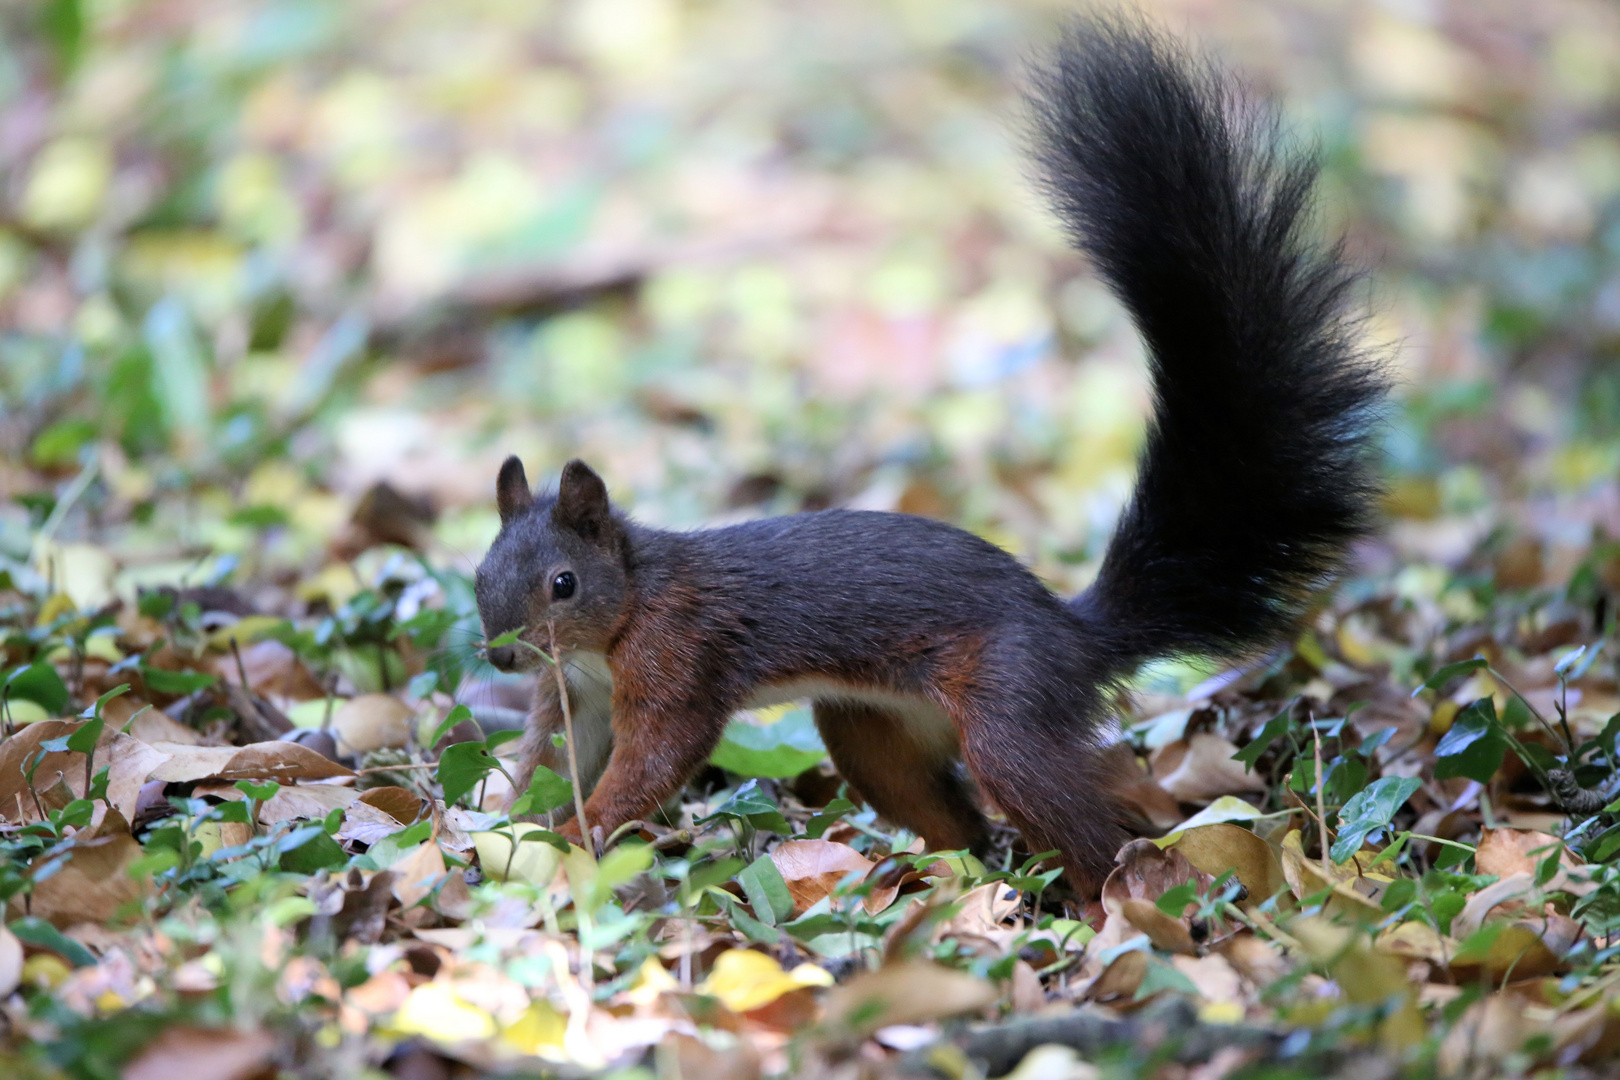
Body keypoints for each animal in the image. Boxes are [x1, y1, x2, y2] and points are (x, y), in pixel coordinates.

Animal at [473, 14, 1386, 893]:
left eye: (564, 583)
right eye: (478, 575)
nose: (504, 654)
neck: (622, 612)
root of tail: (1073, 637)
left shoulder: (680, 659)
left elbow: (655, 758)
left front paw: (576, 836)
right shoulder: (576, 695)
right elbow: (549, 757)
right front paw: (502, 826)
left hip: (1008, 707)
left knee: (1076, 821)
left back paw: (1113, 899)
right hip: (873, 725)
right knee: (960, 820)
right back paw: (934, 875)